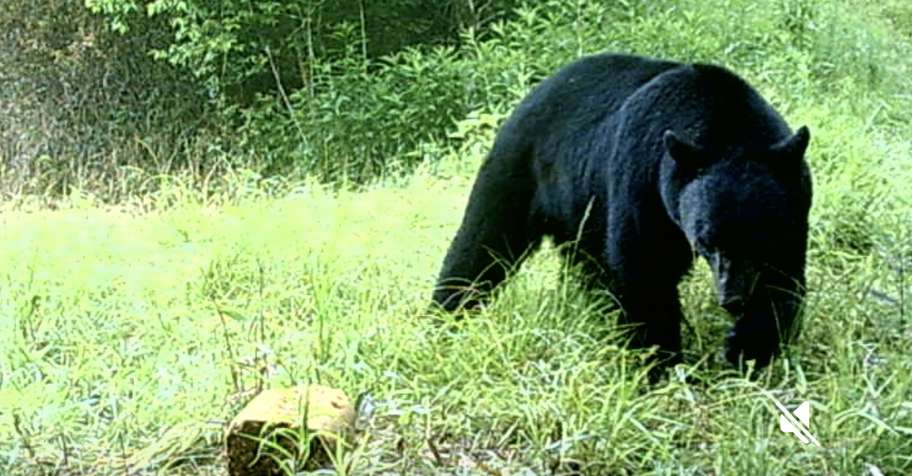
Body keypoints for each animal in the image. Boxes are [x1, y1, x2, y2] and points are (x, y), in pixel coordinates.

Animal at [432, 53, 812, 369]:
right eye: (706, 241)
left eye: (760, 240)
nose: (732, 299)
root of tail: (534, 91)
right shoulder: (642, 179)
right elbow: (644, 265)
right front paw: (660, 361)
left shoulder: (795, 205)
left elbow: (782, 279)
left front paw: (746, 350)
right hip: (520, 170)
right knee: (483, 244)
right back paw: (446, 313)